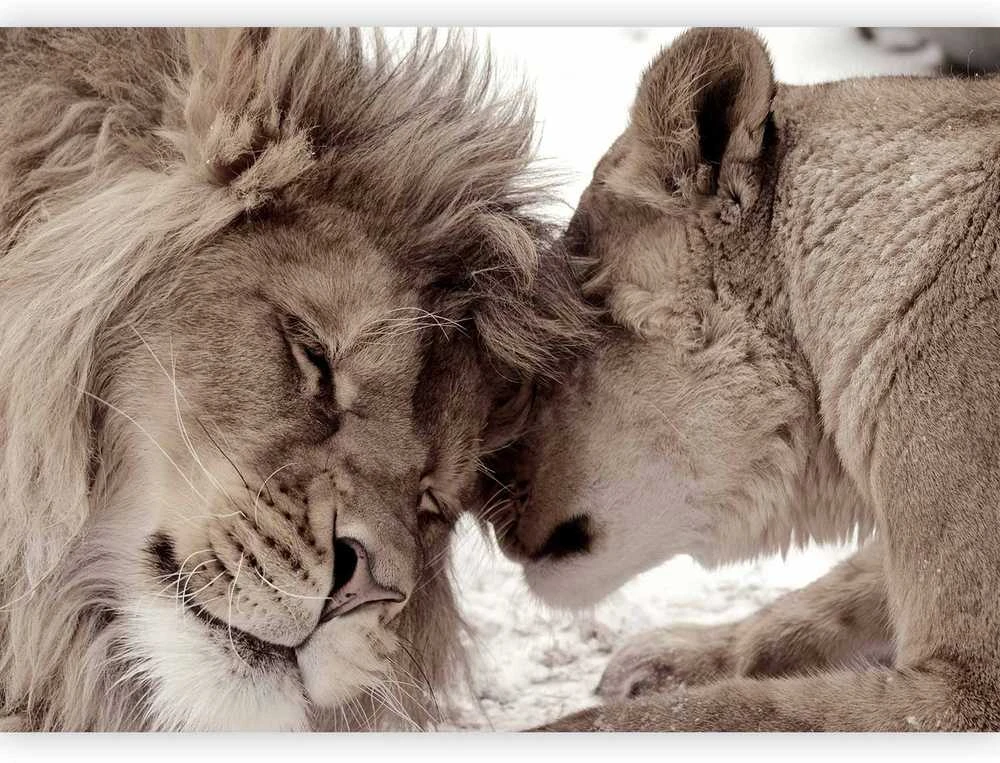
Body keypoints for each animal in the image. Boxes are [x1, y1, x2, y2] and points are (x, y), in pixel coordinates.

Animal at [491, 27, 1000, 731]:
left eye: (553, 348)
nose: (480, 498)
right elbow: (827, 598)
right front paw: (668, 658)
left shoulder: (968, 692)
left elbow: (718, 713)